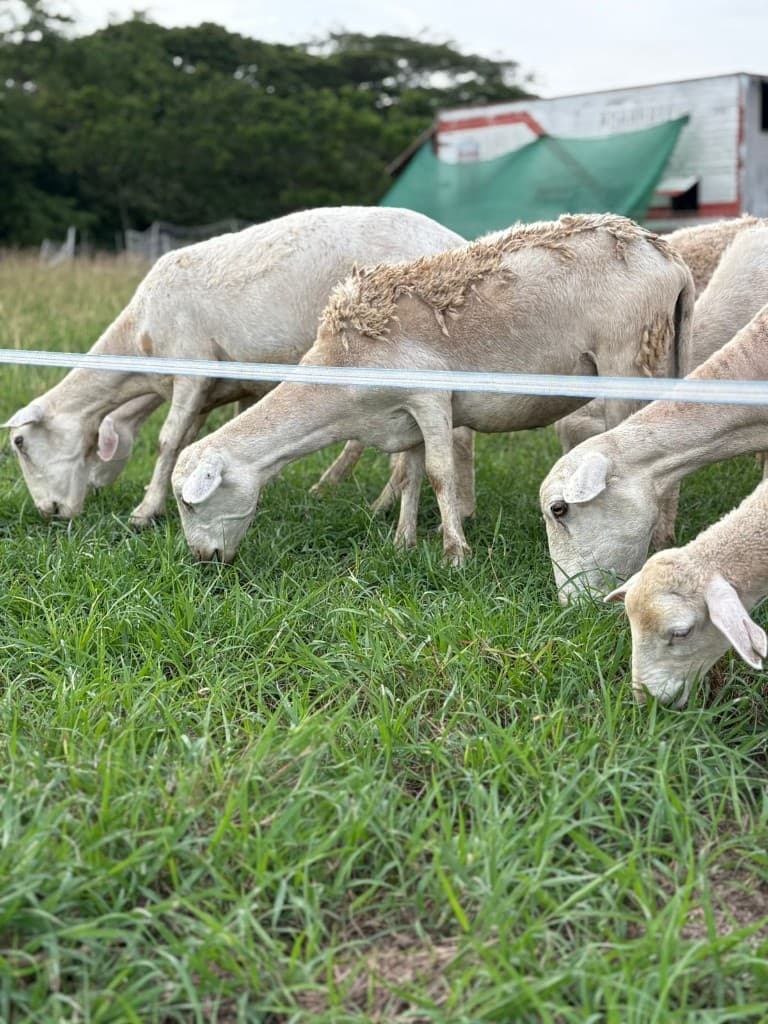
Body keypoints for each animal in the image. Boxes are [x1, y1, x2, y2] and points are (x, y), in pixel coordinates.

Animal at [3, 206, 465, 525]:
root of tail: (452, 238)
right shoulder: (220, 388)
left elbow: (168, 440)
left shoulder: (191, 366)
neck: (139, 340)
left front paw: (145, 512)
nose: (48, 512)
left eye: (20, 443)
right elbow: (195, 438)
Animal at [170, 212, 694, 566]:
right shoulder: (403, 416)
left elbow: (440, 474)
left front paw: (454, 553)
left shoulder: (431, 399)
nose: (203, 559)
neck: (341, 378)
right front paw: (402, 543)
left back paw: (658, 541)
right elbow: (410, 475)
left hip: (630, 358)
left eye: (188, 503)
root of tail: (667, 257)